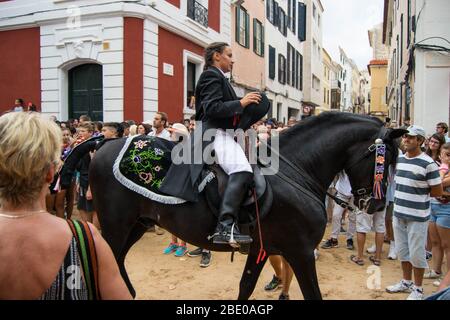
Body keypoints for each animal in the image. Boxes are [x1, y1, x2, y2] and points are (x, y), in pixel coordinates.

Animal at [71, 111, 408, 298]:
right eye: (387, 157)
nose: (376, 205)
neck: (296, 172)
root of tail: (104, 143)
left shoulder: (264, 249)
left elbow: (245, 287)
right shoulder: (299, 252)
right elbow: (312, 294)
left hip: (136, 225)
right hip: (117, 225)